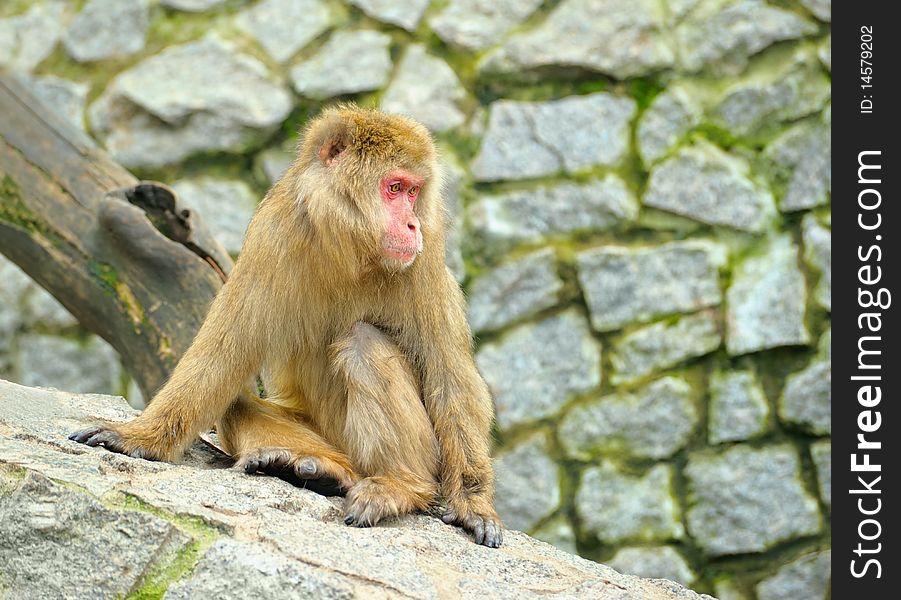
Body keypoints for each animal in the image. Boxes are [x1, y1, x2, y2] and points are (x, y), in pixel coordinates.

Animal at [68, 104, 506, 548]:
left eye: (414, 193)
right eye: (395, 188)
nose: (412, 224)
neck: (348, 246)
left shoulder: (425, 258)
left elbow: (448, 376)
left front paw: (473, 502)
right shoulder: (272, 233)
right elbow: (224, 353)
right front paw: (142, 438)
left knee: (363, 343)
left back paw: (403, 484)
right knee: (236, 403)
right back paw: (321, 470)